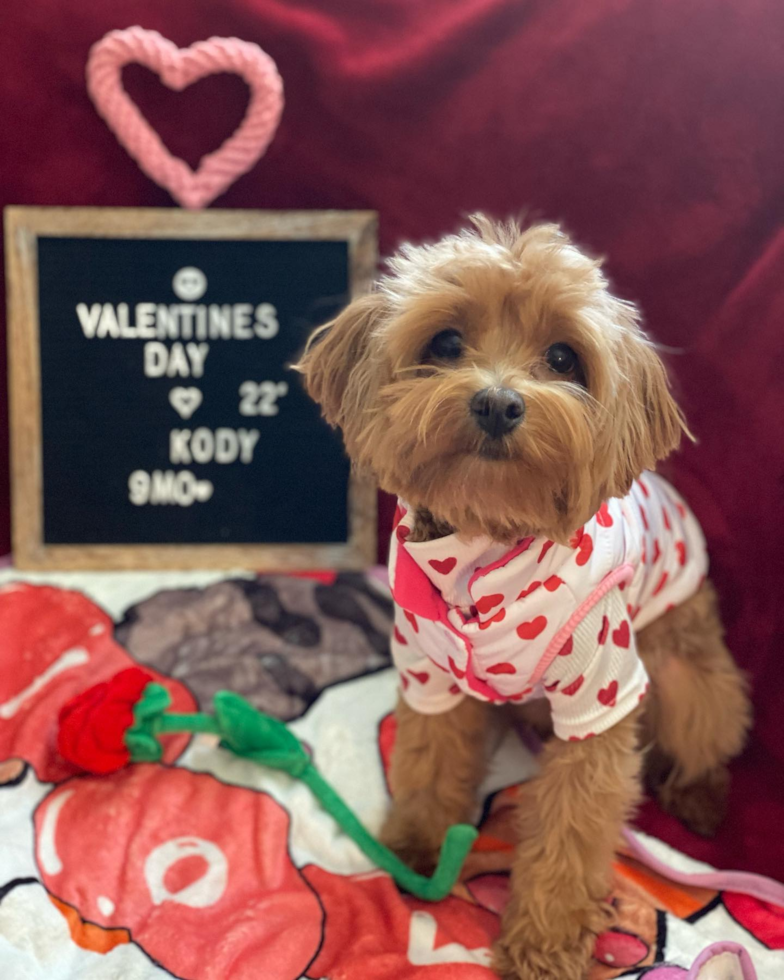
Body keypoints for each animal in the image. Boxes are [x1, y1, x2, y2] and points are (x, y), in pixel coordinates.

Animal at [296, 216, 752, 980]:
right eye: (446, 343)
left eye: (564, 357)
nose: (498, 402)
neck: (483, 550)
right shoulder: (427, 675)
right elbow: (427, 763)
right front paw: (415, 847)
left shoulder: (602, 702)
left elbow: (571, 834)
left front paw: (544, 943)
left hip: (687, 678)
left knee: (708, 731)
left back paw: (699, 794)